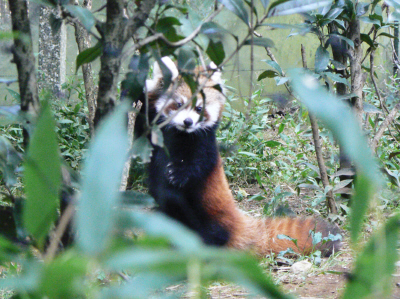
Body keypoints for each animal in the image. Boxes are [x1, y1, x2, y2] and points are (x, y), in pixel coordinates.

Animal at [135, 56, 340, 258]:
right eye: (179, 104)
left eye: (199, 108)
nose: (188, 122)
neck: (179, 133)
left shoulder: (204, 142)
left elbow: (199, 163)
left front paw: (178, 173)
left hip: (208, 214)